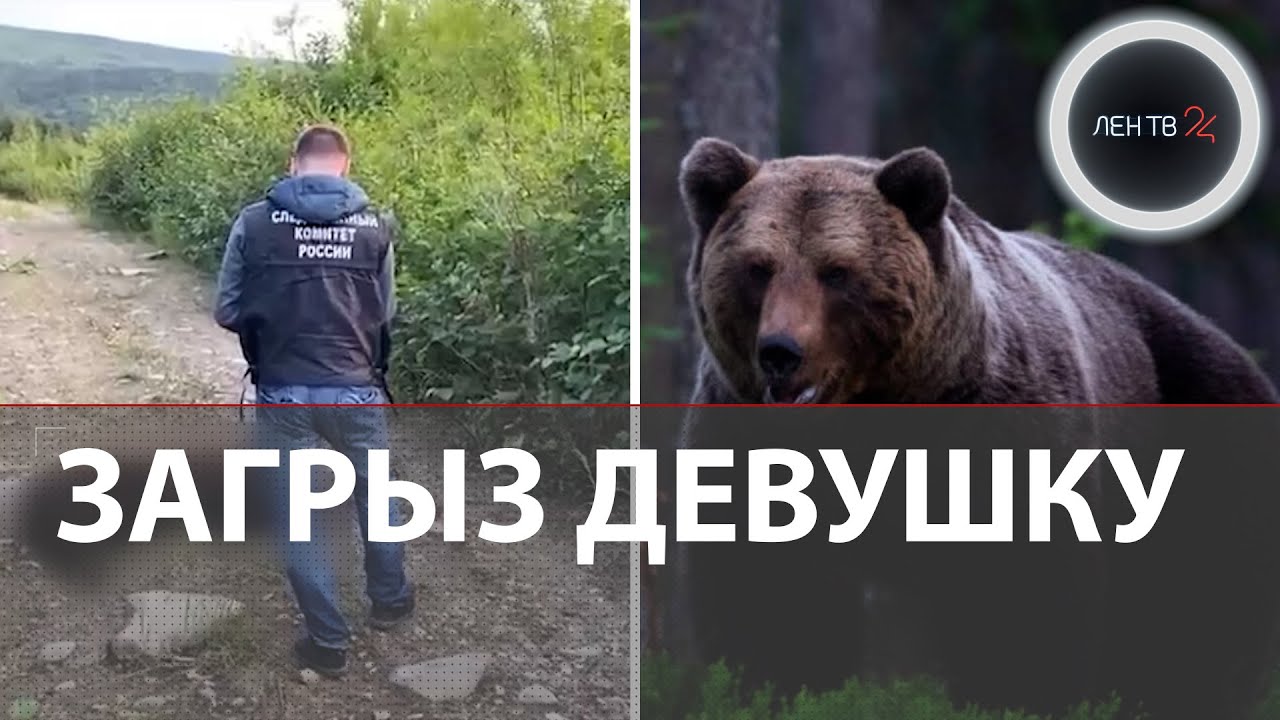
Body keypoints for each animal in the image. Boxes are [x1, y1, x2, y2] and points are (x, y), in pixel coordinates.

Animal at [648, 137, 1280, 719]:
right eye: (758, 267)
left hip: (1202, 426)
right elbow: (766, 598)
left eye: (837, 272)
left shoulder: (1001, 432)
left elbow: (1022, 598)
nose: (781, 352)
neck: (870, 414)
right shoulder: (749, 444)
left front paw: (1016, 696)